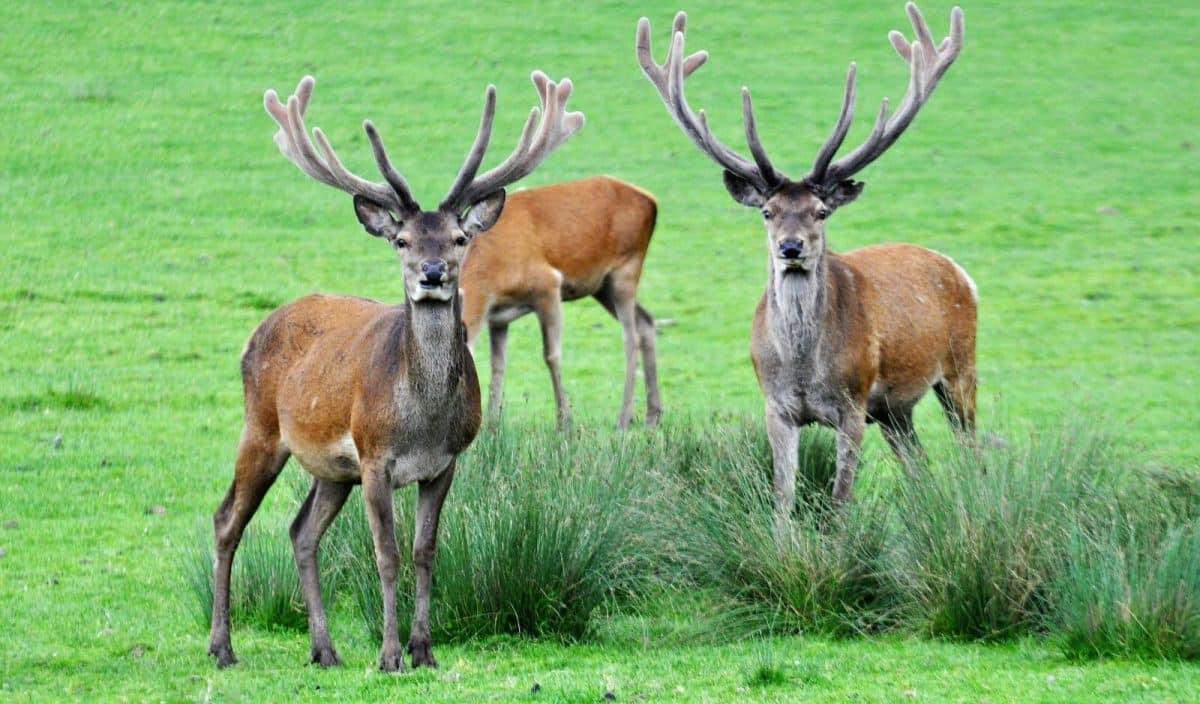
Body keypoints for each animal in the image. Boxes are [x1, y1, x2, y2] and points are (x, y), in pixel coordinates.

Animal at [208, 71, 583, 671]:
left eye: (460, 238)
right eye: (402, 241)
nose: (432, 273)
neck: (422, 421)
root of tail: (258, 331)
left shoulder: (445, 462)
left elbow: (425, 551)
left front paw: (423, 649)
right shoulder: (375, 458)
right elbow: (386, 555)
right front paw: (389, 655)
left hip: (332, 469)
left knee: (301, 531)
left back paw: (325, 650)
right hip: (263, 429)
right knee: (227, 520)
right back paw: (222, 648)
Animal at [460, 176, 667, 429]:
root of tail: (651, 200)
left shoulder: (548, 285)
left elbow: (551, 354)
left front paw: (565, 423)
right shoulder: (498, 317)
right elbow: (498, 365)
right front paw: (492, 426)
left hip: (626, 268)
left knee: (631, 337)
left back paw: (624, 419)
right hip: (601, 286)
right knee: (647, 321)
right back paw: (653, 415)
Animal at [638, 4, 974, 513]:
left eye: (820, 211)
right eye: (768, 211)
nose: (791, 247)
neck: (803, 368)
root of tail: (956, 269)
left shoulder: (854, 404)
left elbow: (839, 497)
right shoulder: (776, 407)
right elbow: (783, 494)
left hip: (960, 365)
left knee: (972, 448)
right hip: (895, 409)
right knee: (920, 467)